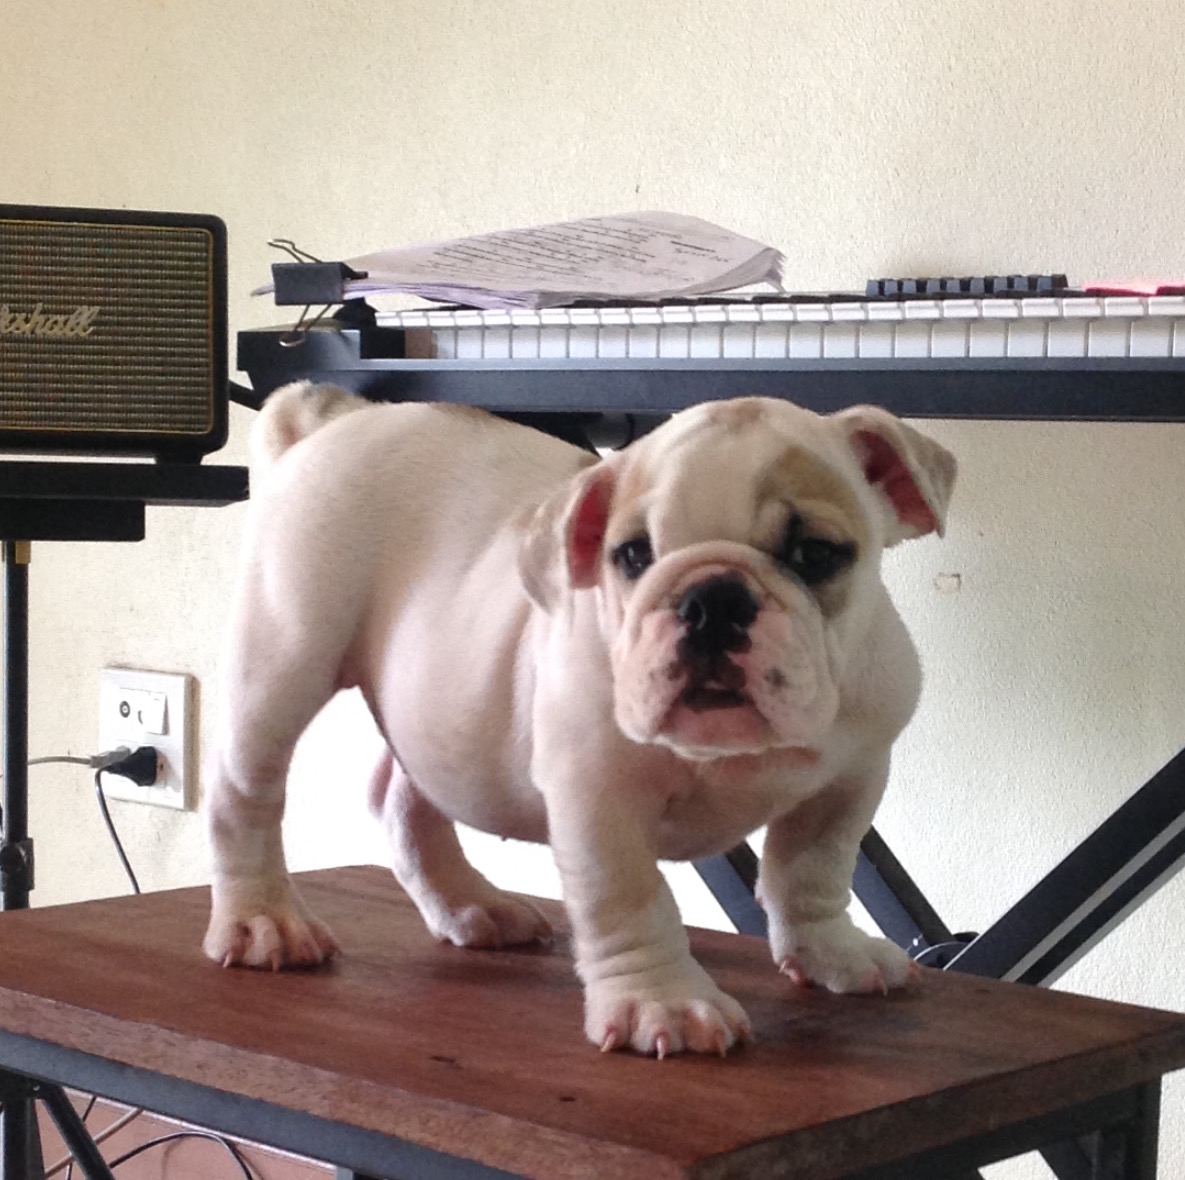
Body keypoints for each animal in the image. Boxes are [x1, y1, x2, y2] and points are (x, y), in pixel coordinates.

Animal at [203, 382, 955, 1058]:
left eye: (815, 554)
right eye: (633, 556)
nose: (710, 600)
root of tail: (340, 418)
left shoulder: (851, 776)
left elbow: (813, 869)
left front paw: (830, 951)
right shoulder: (597, 796)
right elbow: (630, 898)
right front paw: (663, 1002)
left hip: (440, 712)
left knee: (401, 796)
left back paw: (471, 905)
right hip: (284, 657)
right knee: (244, 795)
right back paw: (264, 922)